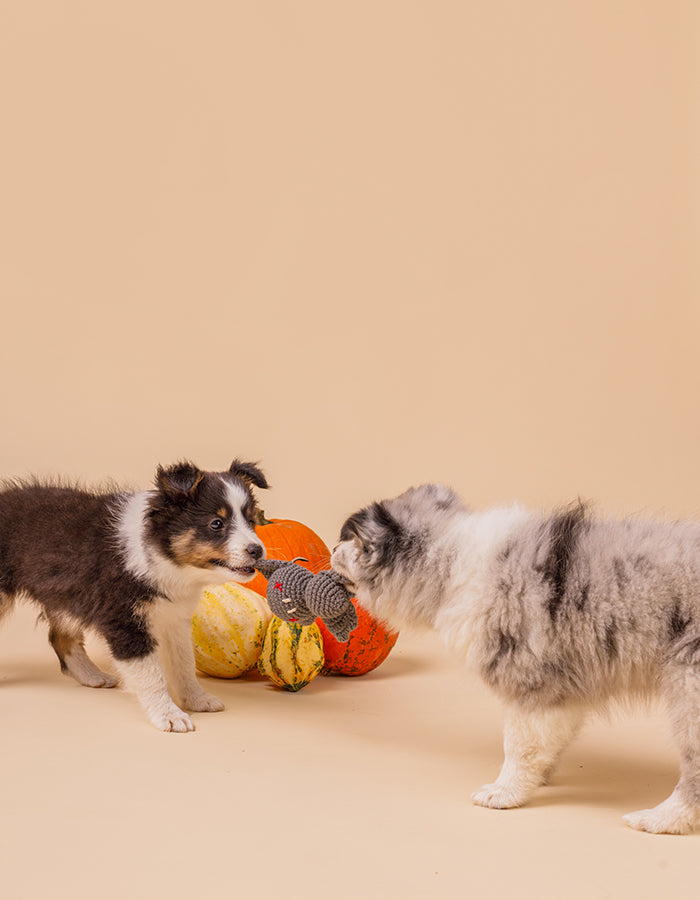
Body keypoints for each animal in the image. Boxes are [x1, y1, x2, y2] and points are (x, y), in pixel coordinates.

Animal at [0, 460, 268, 728]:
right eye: (216, 523)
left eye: (251, 521)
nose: (257, 550)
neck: (166, 560)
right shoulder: (124, 620)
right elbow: (151, 673)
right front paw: (169, 716)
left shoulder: (174, 618)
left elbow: (184, 662)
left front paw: (197, 699)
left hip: (65, 596)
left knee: (59, 637)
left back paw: (93, 676)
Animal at [330, 488, 700, 832]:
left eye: (351, 541)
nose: (331, 550)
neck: (449, 562)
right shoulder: (563, 689)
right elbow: (550, 741)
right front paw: (541, 776)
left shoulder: (529, 684)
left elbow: (519, 748)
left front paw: (505, 791)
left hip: (688, 690)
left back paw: (660, 818)